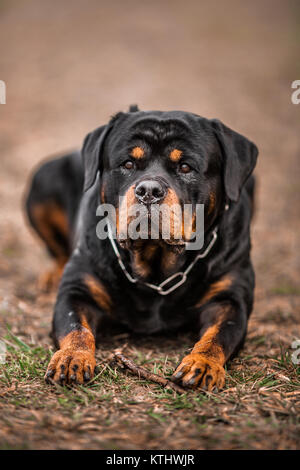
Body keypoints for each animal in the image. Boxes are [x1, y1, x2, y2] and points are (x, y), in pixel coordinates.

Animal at [25, 105, 258, 390]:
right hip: (42, 182)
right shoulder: (77, 290)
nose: (149, 189)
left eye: (185, 167)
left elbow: (218, 336)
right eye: (127, 164)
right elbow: (76, 327)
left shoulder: (229, 299)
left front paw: (202, 364)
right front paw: (71, 358)